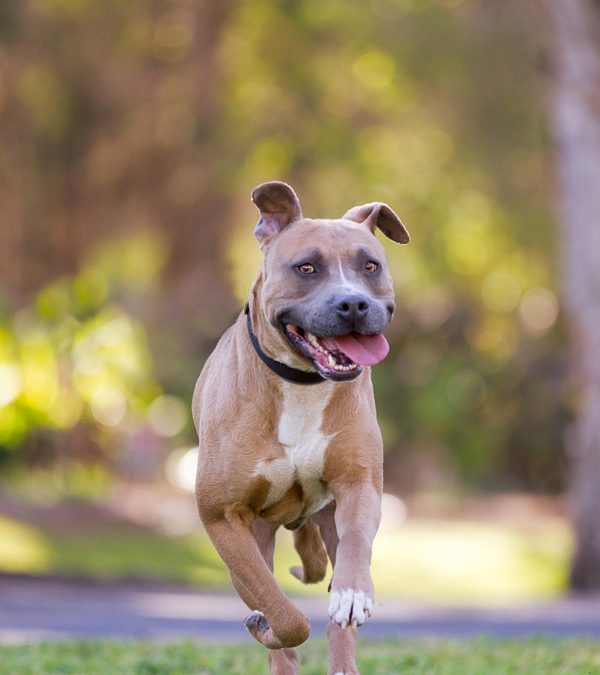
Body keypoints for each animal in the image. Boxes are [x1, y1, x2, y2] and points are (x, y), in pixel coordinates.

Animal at [192, 181, 409, 674]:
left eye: (370, 266)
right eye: (306, 267)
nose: (354, 303)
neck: (302, 383)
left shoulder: (359, 486)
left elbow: (354, 555)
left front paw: (352, 595)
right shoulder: (224, 519)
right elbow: (284, 614)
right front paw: (268, 627)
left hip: (326, 518)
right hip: (253, 537)